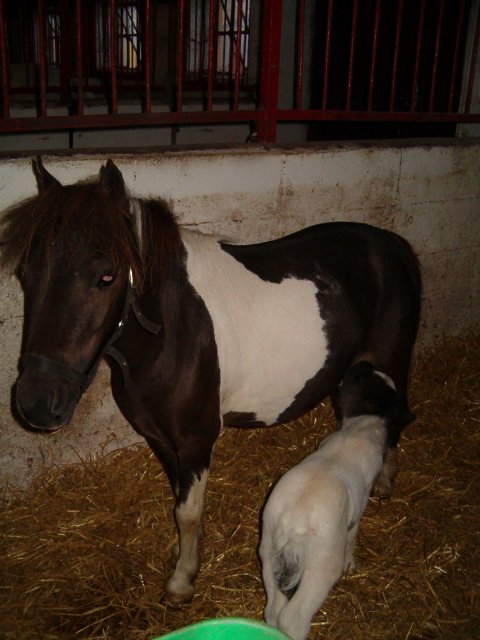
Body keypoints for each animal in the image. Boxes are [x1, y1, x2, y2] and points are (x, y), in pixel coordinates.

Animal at [0, 157, 421, 604]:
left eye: (107, 277)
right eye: (26, 273)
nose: (37, 402)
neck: (172, 331)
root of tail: (395, 246)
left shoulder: (196, 440)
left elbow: (187, 511)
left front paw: (182, 581)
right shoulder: (161, 438)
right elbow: (179, 500)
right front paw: (182, 552)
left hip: (391, 361)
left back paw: (384, 480)